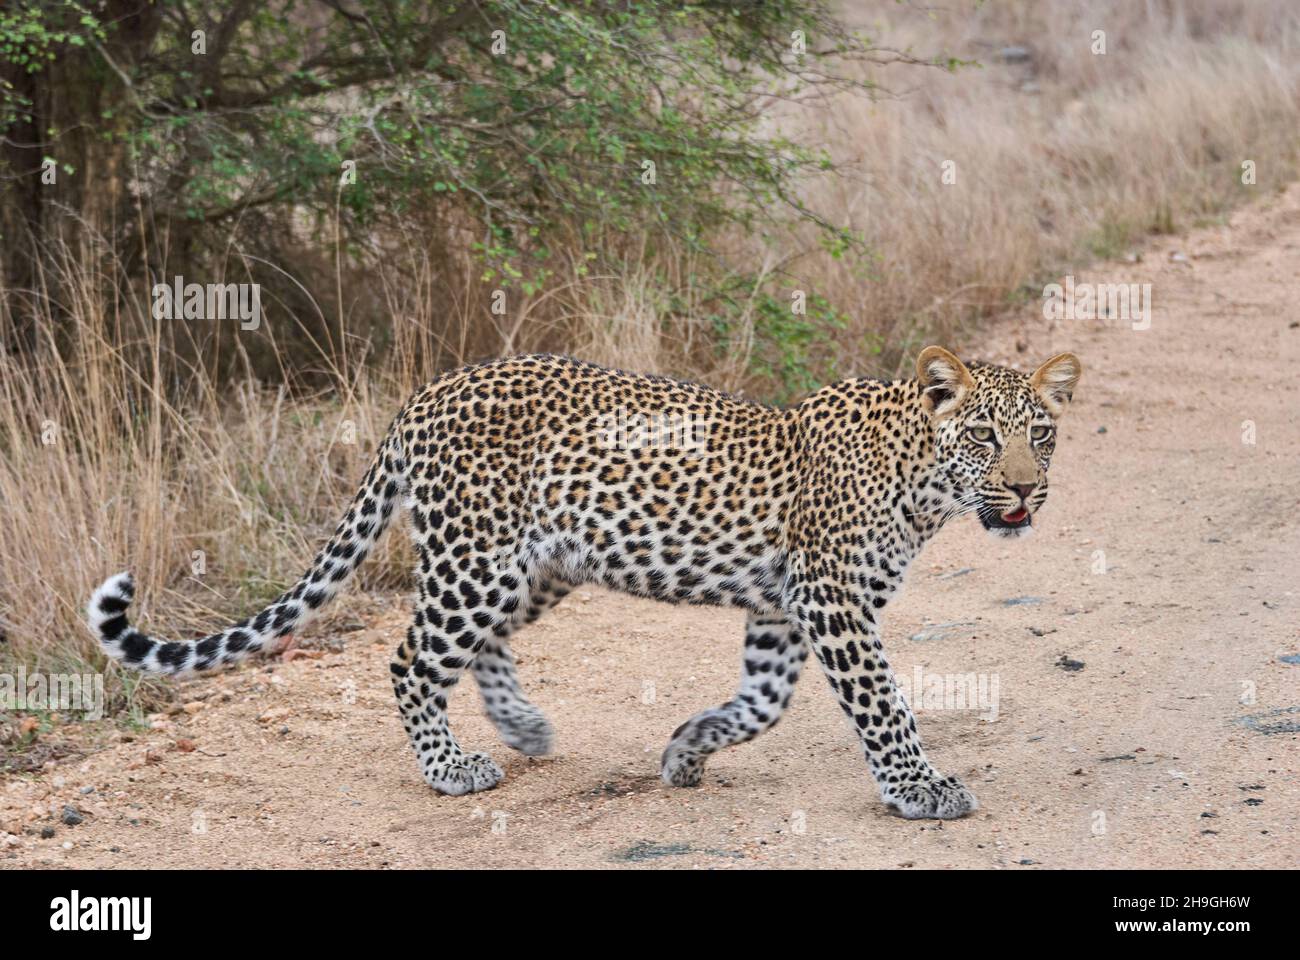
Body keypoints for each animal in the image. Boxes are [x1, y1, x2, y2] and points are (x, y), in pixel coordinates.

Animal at [89, 343, 1076, 816]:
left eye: (1042, 433)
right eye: (984, 436)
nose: (1028, 488)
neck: (922, 481)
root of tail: (425, 394)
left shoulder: (785, 612)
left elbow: (762, 704)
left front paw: (686, 752)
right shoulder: (832, 603)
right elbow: (882, 705)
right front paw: (921, 790)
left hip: (531, 566)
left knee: (477, 646)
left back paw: (523, 727)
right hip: (476, 556)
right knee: (411, 660)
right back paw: (451, 769)